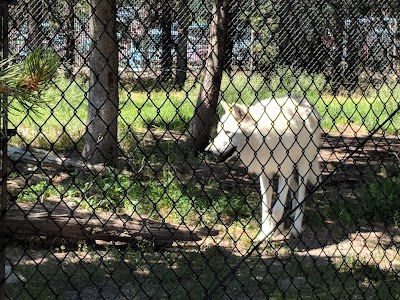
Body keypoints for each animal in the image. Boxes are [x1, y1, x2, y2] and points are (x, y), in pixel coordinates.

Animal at [206, 97, 322, 240]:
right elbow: (266, 207)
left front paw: (272, 230)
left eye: (228, 132)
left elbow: (277, 209)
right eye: (218, 132)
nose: (208, 150)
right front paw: (265, 233)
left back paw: (295, 228)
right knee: (294, 191)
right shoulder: (265, 173)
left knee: (301, 195)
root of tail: (305, 102)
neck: (264, 138)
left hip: (303, 166)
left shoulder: (285, 173)